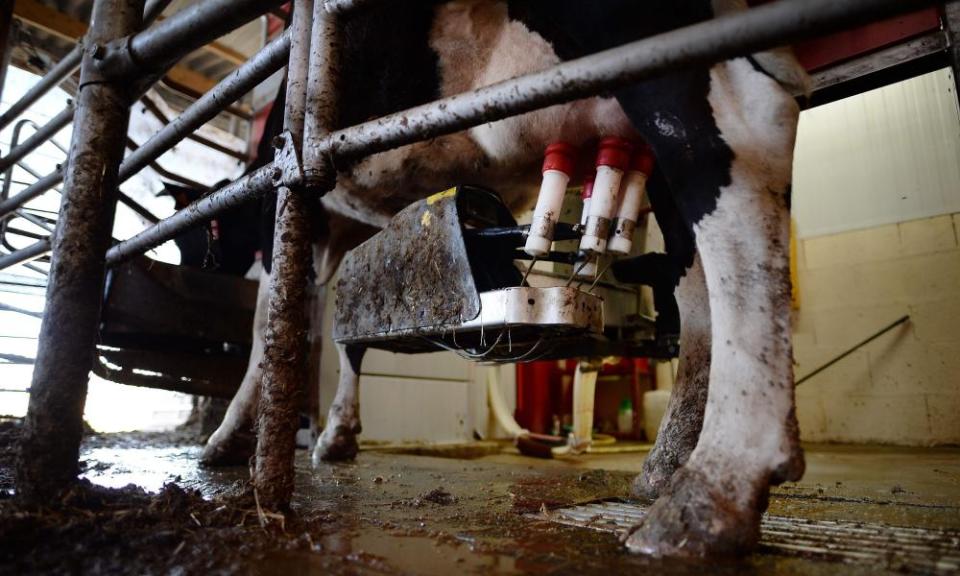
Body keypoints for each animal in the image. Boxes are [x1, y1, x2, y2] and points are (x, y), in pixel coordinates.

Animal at [202, 0, 808, 560]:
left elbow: (270, 323)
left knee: (740, 141)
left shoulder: (283, 199)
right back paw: (667, 463)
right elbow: (350, 333)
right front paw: (338, 434)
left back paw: (716, 483)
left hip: (657, 46)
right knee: (695, 281)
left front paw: (232, 436)